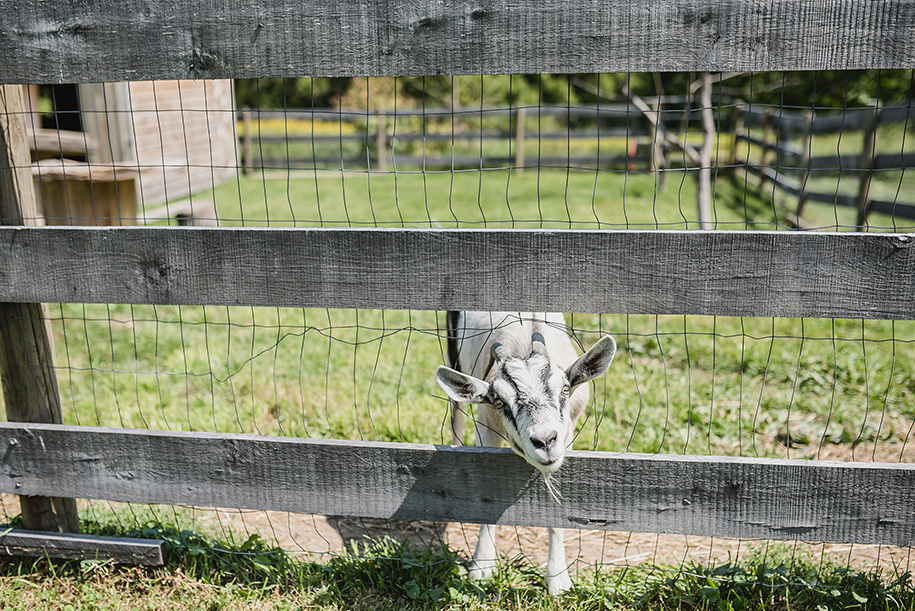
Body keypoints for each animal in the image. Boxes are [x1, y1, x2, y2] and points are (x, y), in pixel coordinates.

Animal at [434, 310, 616, 592]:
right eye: (499, 401)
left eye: (565, 389)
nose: (544, 441)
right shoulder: (486, 427)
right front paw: (482, 566)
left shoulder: (567, 437)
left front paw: (557, 579)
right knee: (456, 413)